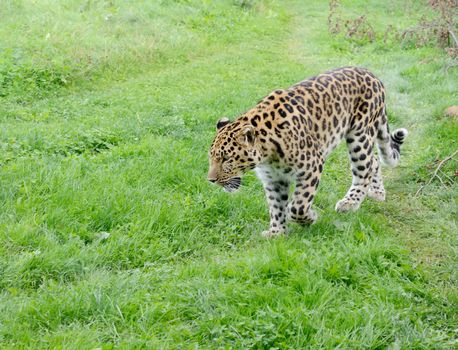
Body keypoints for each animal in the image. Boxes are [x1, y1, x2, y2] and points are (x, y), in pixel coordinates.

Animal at [208, 66, 408, 238]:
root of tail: (372, 75)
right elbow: (276, 206)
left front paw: (309, 218)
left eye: (226, 159)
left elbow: (298, 206)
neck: (267, 152)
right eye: (211, 158)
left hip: (359, 135)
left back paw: (350, 203)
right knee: (374, 160)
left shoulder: (312, 166)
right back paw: (377, 192)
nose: (210, 180)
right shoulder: (273, 179)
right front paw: (276, 232)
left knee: (366, 166)